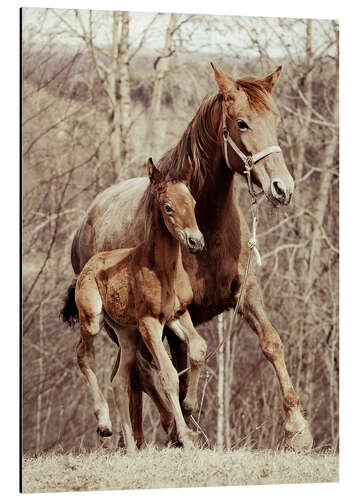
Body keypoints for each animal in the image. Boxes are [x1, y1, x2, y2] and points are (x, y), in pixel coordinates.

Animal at [73, 159, 206, 454]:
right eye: (167, 206)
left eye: (193, 201)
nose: (196, 241)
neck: (163, 270)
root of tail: (89, 263)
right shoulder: (150, 322)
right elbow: (168, 375)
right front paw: (185, 436)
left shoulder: (178, 315)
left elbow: (199, 348)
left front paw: (190, 406)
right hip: (93, 320)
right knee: (83, 355)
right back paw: (104, 424)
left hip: (127, 334)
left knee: (121, 380)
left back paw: (132, 447)